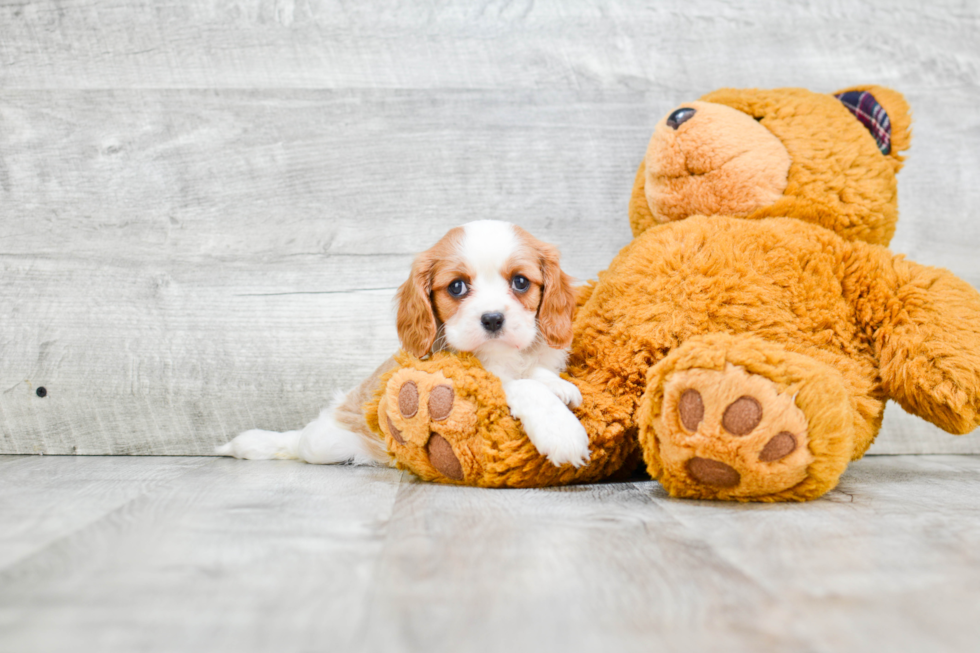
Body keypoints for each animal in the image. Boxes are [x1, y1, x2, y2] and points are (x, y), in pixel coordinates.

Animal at [220, 220, 588, 468]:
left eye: (521, 282)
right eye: (456, 287)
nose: (493, 318)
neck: (497, 356)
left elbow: (534, 373)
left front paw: (557, 384)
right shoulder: (445, 380)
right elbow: (515, 385)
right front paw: (561, 432)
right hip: (322, 444)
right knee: (301, 444)